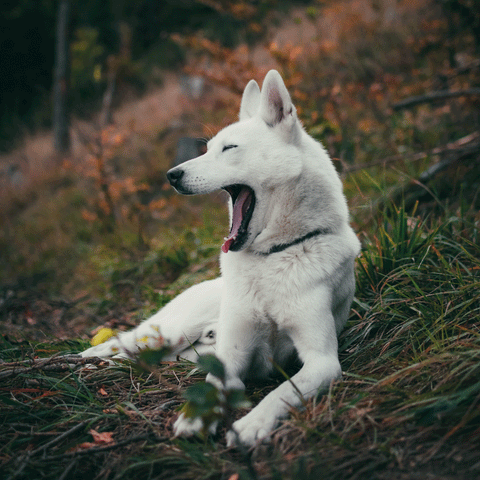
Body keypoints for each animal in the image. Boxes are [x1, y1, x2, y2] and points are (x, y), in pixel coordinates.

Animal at [82, 70, 360, 446]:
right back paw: (84, 359)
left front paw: (252, 424)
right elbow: (213, 387)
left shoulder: (322, 361)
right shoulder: (233, 353)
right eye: (208, 148)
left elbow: (285, 390)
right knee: (118, 343)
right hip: (167, 333)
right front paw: (194, 418)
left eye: (229, 149)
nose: (171, 175)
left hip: (178, 350)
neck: (272, 257)